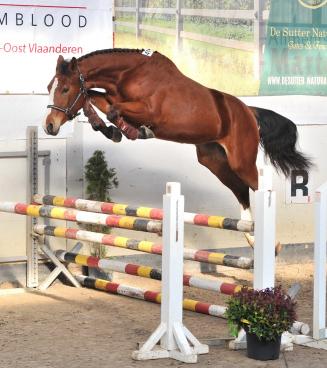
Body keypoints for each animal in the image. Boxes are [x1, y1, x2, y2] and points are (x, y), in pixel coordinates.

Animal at [43, 48, 312, 244]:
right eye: (49, 88)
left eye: (65, 88)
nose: (49, 126)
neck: (128, 73)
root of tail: (249, 111)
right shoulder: (112, 96)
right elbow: (95, 98)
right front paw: (110, 129)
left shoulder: (149, 110)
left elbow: (111, 108)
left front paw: (132, 131)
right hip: (213, 160)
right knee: (241, 189)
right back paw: (251, 236)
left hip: (241, 160)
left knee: (258, 187)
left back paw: (270, 241)